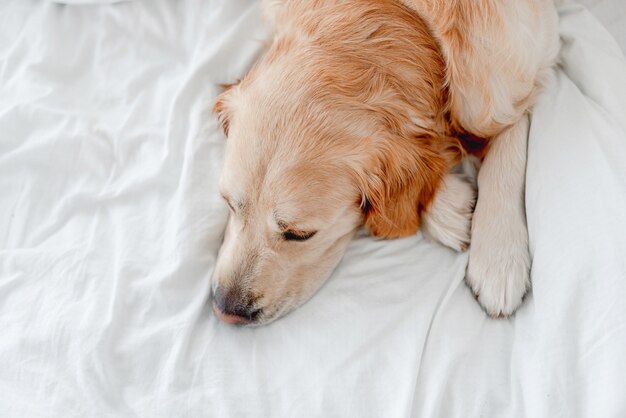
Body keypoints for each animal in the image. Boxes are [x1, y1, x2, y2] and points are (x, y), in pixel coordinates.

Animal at [210, 0, 556, 324]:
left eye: (300, 234)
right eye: (228, 203)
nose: (225, 310)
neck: (407, 16)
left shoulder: (517, 69)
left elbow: (510, 132)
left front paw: (498, 256)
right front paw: (449, 209)